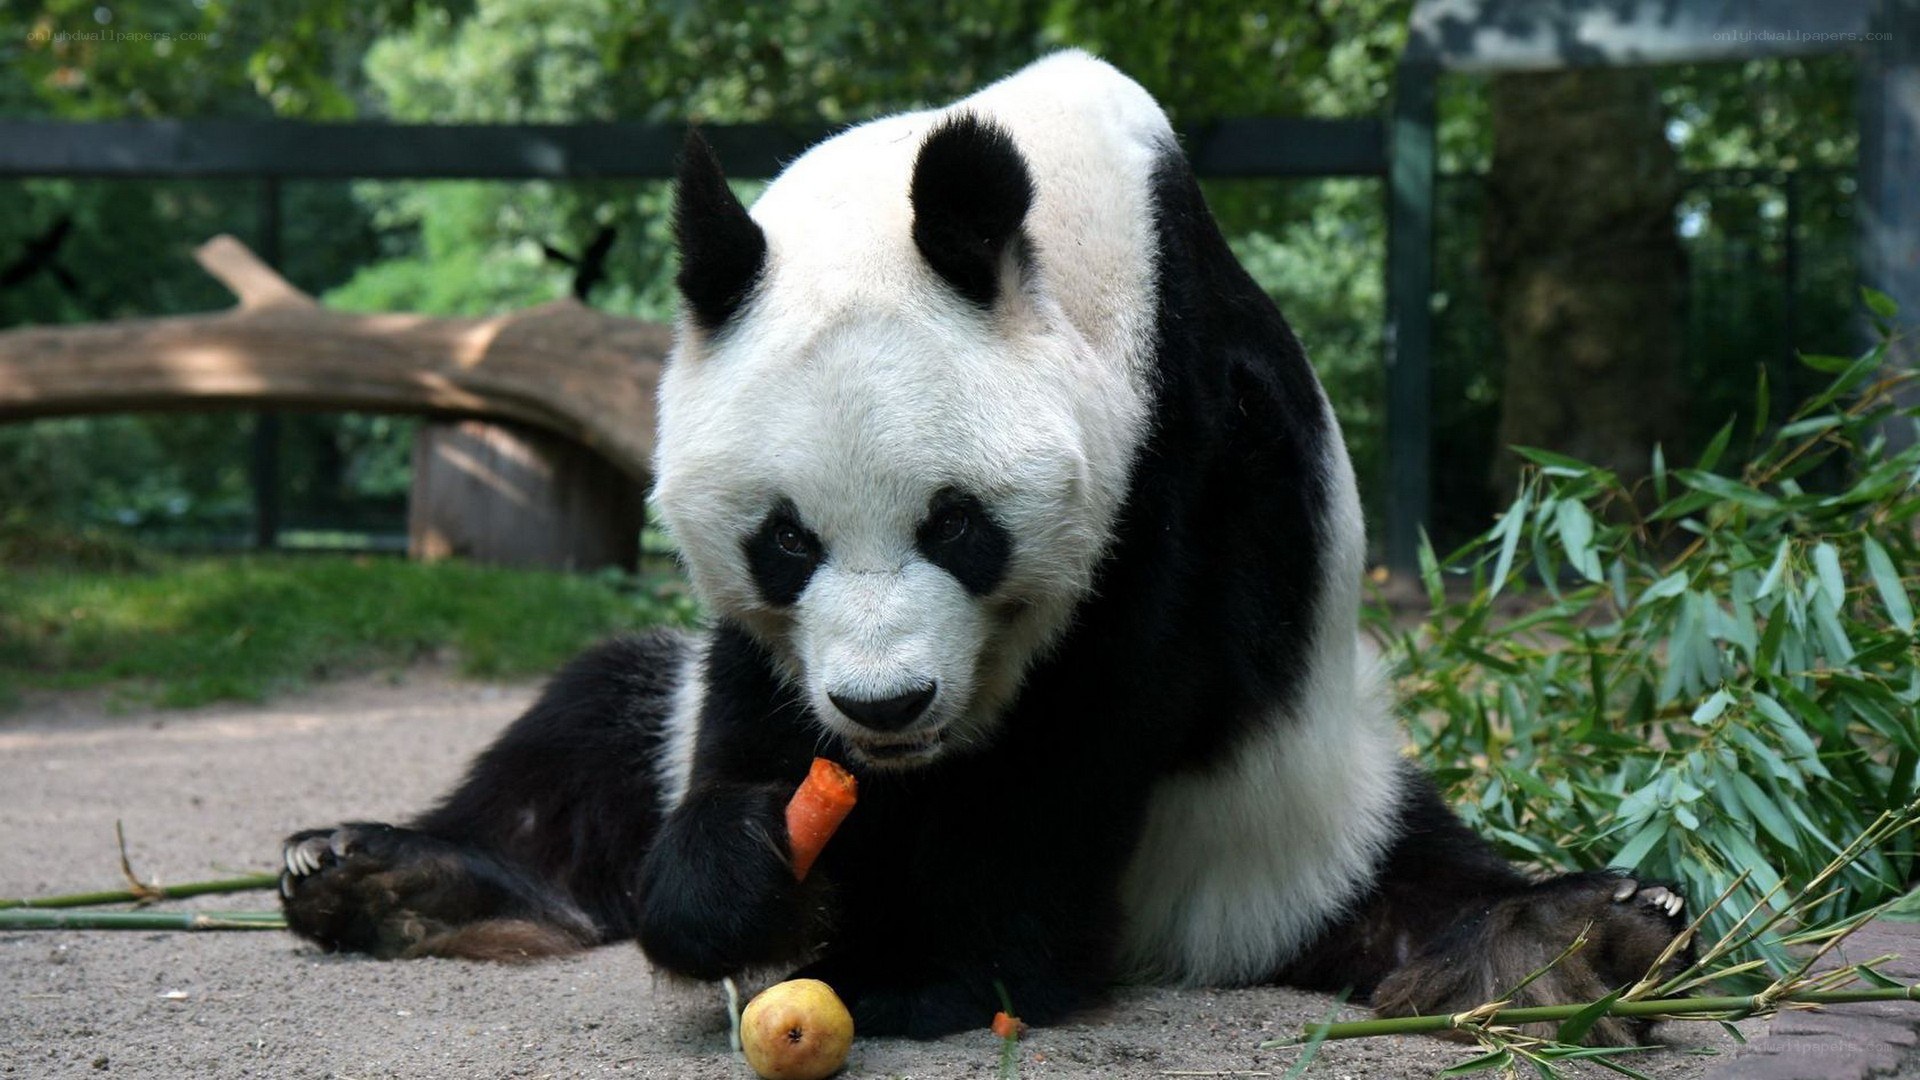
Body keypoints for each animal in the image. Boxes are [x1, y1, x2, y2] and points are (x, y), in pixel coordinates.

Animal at [279, 51, 1688, 1045]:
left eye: (955, 526)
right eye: (784, 542)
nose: (885, 706)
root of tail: (1197, 939)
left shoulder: (1178, 448)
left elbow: (1089, 727)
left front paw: (929, 975)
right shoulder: (763, 653)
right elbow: (747, 714)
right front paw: (747, 884)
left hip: (1301, 804)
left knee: (1409, 885)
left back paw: (1569, 941)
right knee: (589, 730)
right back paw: (379, 877)